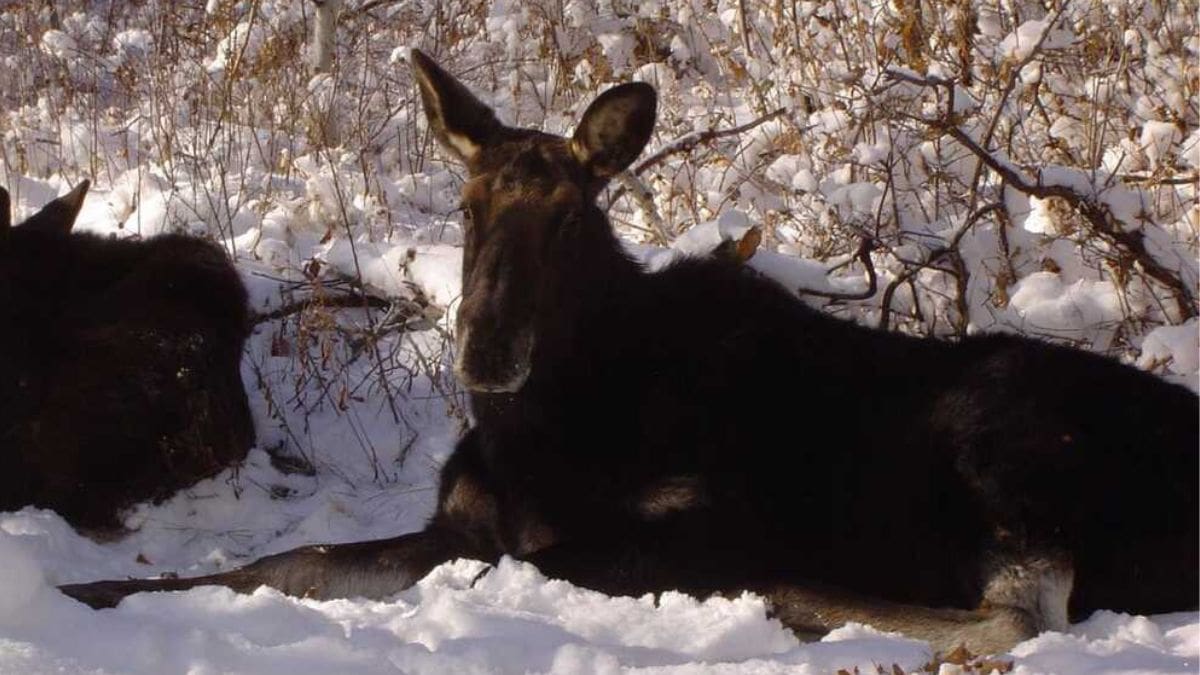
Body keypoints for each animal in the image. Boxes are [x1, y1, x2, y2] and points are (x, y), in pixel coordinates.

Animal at [58, 49, 1200, 648]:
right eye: (468, 209)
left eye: (570, 219)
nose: (486, 354)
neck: (540, 428)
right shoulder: (454, 523)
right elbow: (286, 563)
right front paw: (91, 593)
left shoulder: (687, 521)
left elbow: (530, 562)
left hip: (998, 439)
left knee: (1021, 611)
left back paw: (786, 595)